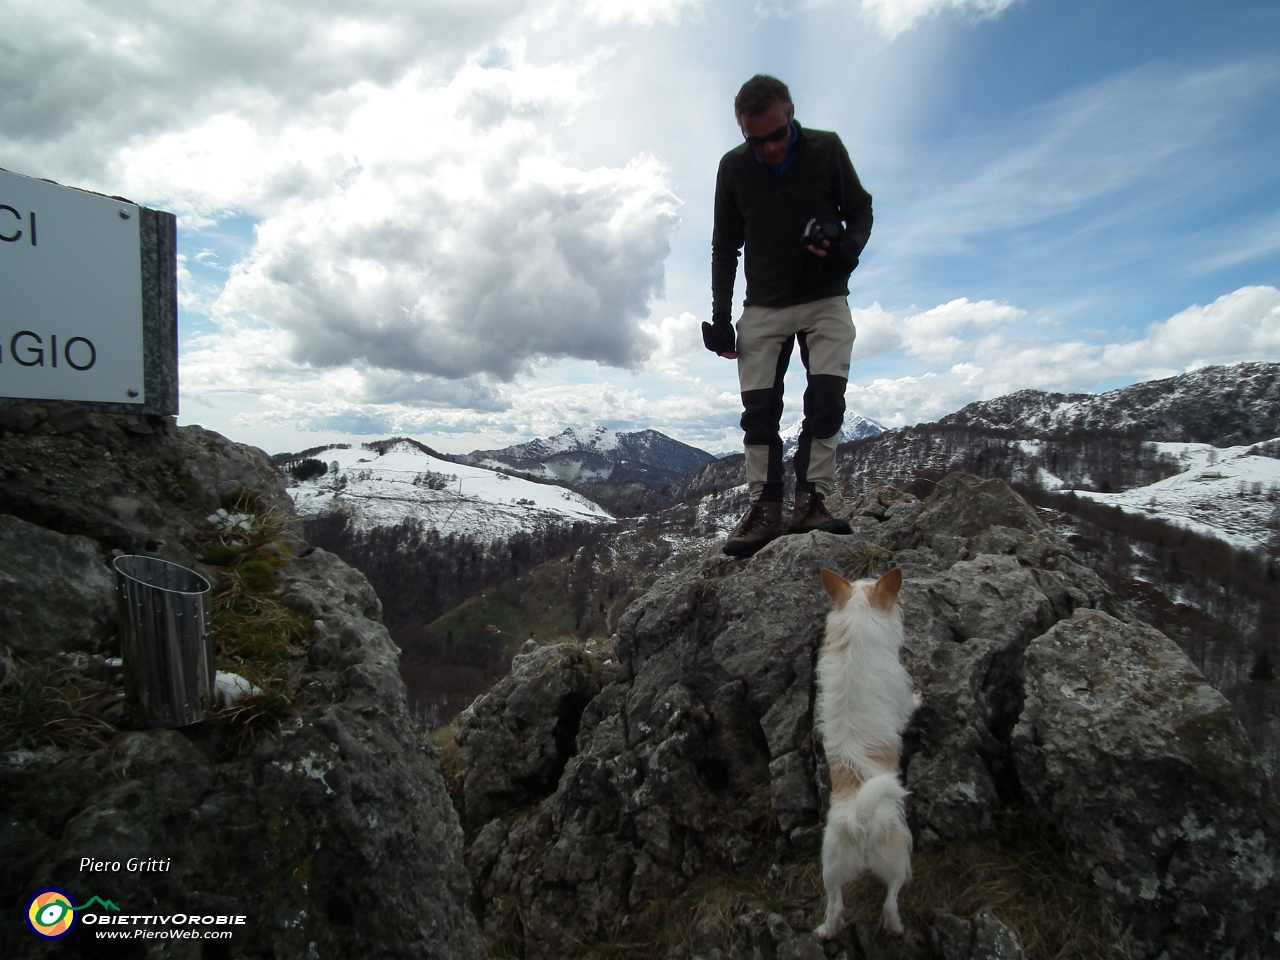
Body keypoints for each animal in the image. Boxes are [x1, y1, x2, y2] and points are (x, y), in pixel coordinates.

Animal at [814, 568, 916, 942]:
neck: (857, 624)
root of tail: (861, 821)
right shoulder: (901, 696)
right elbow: (909, 706)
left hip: (831, 864)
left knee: (835, 906)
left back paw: (825, 932)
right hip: (898, 854)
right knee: (890, 901)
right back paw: (896, 927)